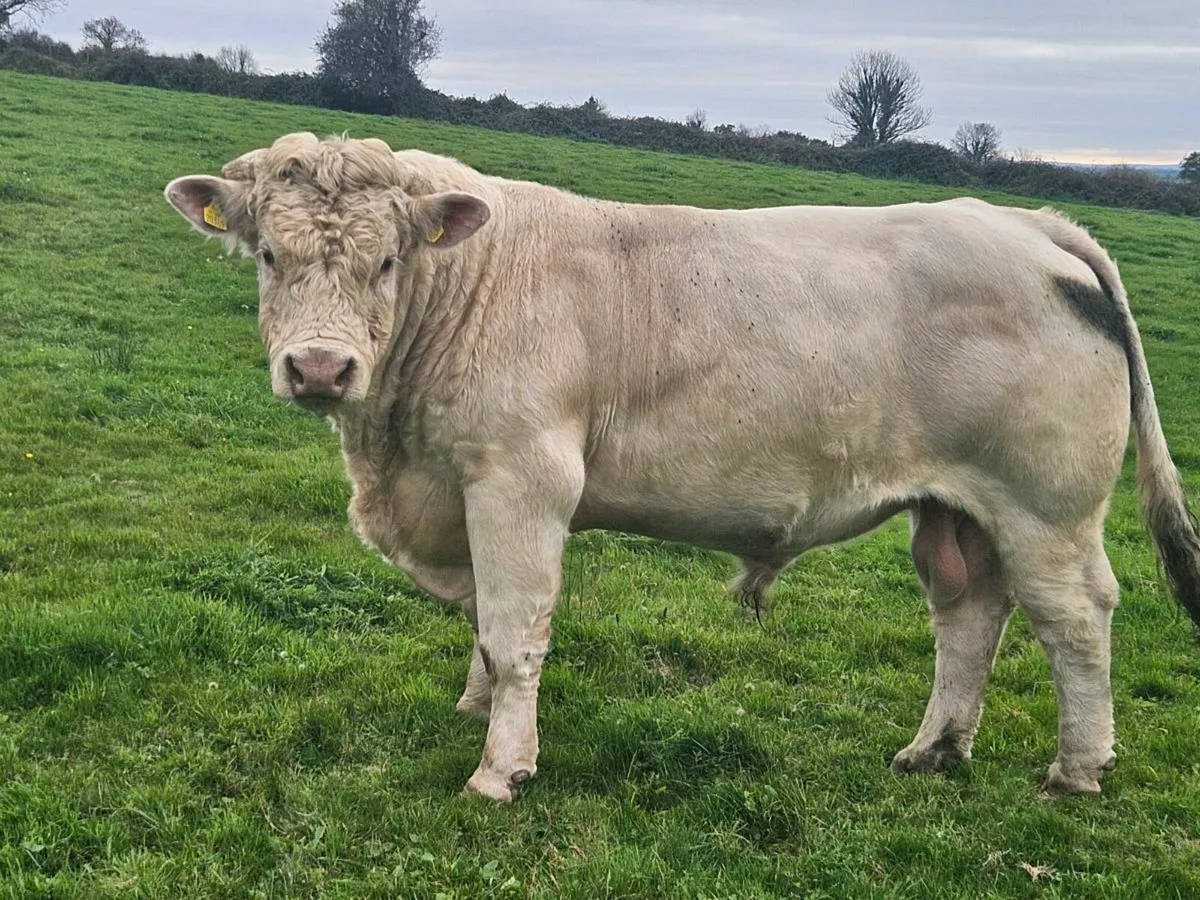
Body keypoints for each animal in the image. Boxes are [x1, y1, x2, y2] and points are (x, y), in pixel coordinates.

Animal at [164, 132, 1200, 802]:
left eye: (385, 262)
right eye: (267, 254)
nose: (319, 368)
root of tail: (1028, 224)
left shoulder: (521, 481)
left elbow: (514, 629)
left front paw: (501, 767)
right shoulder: (460, 488)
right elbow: (483, 626)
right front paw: (475, 707)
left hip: (1045, 508)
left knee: (1075, 619)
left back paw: (1077, 770)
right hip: (957, 506)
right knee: (971, 611)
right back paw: (933, 750)